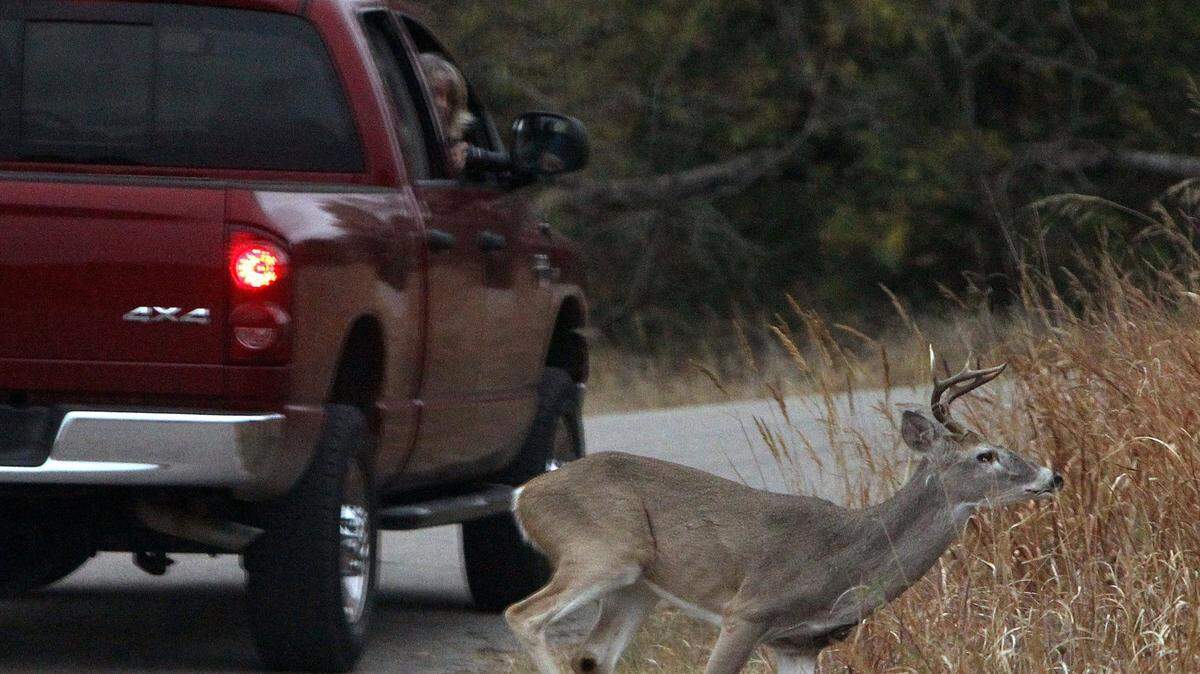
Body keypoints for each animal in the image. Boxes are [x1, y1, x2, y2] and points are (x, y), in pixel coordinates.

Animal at [504, 357, 1064, 674]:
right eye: (985, 455)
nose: (1052, 475)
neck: (846, 560)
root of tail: (523, 494)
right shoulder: (748, 612)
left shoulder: (799, 643)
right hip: (604, 551)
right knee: (522, 615)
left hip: (636, 587)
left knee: (592, 656)